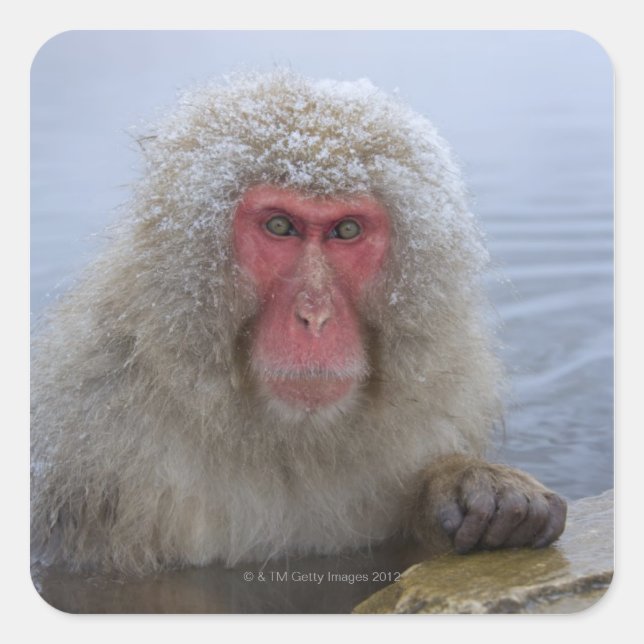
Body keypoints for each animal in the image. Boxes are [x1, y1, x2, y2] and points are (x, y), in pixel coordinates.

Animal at [31, 70, 566, 576]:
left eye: (345, 230)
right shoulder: (90, 439)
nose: (314, 315)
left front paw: (474, 489)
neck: (286, 441)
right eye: (280, 226)